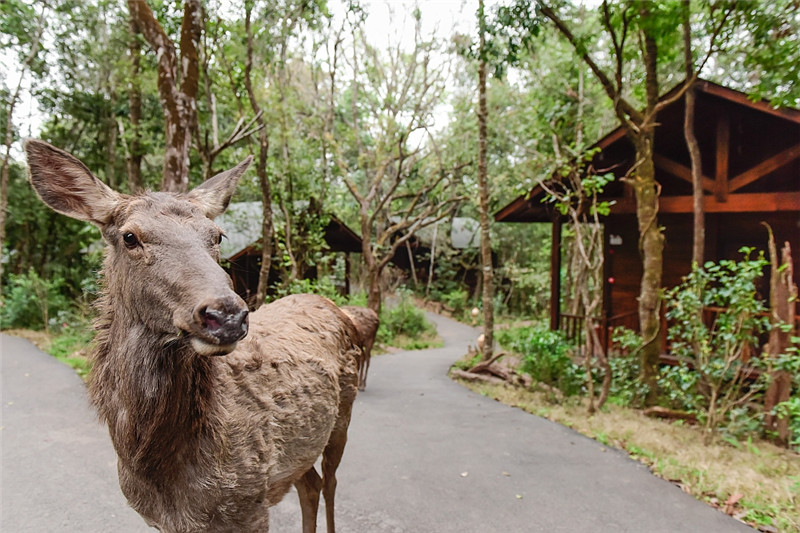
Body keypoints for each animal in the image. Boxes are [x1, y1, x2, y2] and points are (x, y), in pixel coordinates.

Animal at [25, 140, 358, 532]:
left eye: (217, 235)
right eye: (129, 237)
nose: (225, 314)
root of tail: (334, 306)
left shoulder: (250, 504)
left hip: (343, 414)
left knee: (330, 481)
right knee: (311, 484)